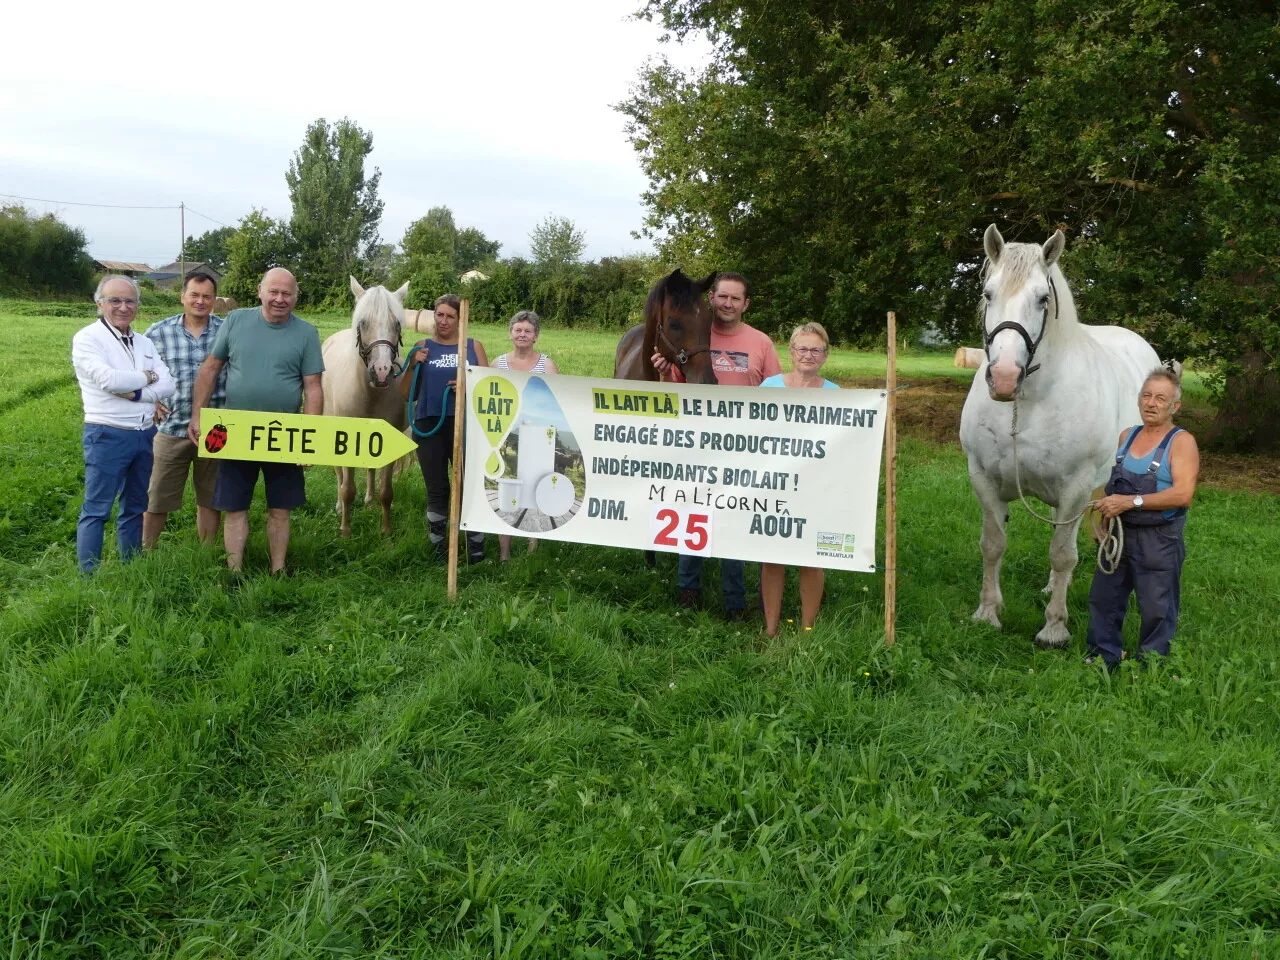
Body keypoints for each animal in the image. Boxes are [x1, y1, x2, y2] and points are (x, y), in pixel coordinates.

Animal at [962, 222, 1162, 650]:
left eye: (1042, 299)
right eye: (988, 293)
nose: (1004, 377)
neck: (1028, 403)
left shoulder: (1076, 487)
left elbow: (1062, 555)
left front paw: (1054, 628)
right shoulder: (983, 478)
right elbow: (993, 545)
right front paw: (988, 613)